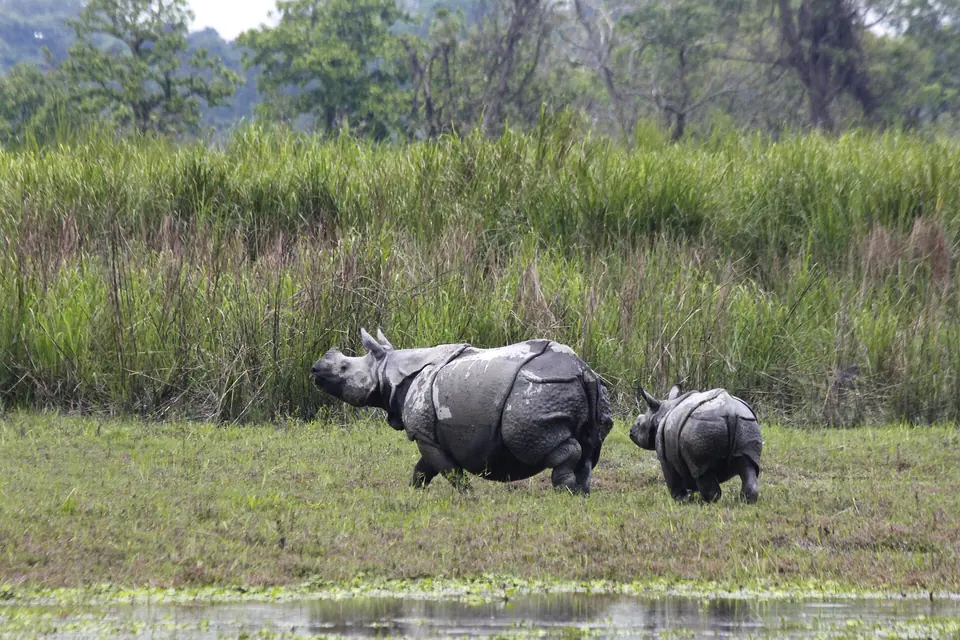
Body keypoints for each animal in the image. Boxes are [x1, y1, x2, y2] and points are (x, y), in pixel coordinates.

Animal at [310, 328, 613, 494]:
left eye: (343, 368)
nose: (314, 369)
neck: (387, 370)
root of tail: (582, 370)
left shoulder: (423, 434)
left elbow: (448, 469)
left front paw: (468, 497)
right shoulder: (429, 434)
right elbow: (423, 470)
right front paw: (413, 494)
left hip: (541, 388)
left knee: (541, 442)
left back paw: (564, 492)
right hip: (590, 389)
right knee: (589, 451)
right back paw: (580, 494)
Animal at [629, 384, 762, 503]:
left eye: (639, 423)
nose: (630, 431)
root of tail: (731, 411)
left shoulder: (664, 456)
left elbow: (673, 477)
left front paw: (681, 500)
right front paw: (689, 497)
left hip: (701, 426)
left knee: (702, 471)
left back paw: (707, 503)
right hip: (746, 423)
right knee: (748, 466)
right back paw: (746, 502)